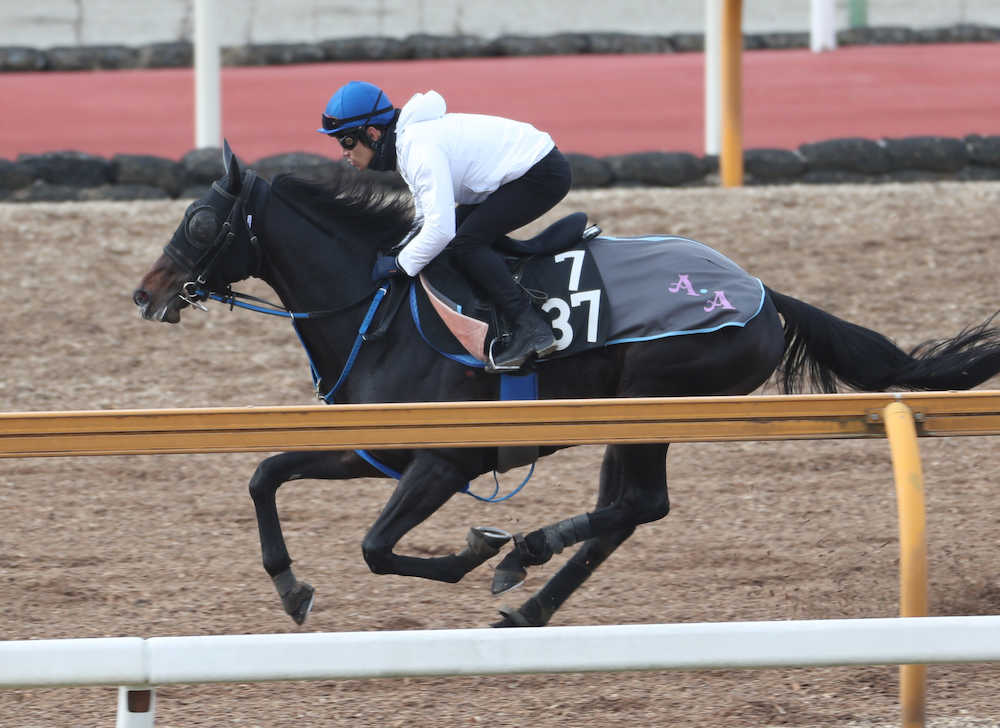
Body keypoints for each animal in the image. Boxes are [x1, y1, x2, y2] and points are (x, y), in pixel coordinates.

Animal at [133, 144, 1000, 628]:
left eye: (201, 223)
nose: (145, 293)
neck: (381, 310)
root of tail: (759, 291)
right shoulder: (376, 449)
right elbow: (264, 473)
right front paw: (290, 586)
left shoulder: (444, 460)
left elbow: (377, 548)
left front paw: (475, 549)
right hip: (625, 417)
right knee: (628, 511)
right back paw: (529, 601)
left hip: (651, 402)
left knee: (640, 503)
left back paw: (523, 554)